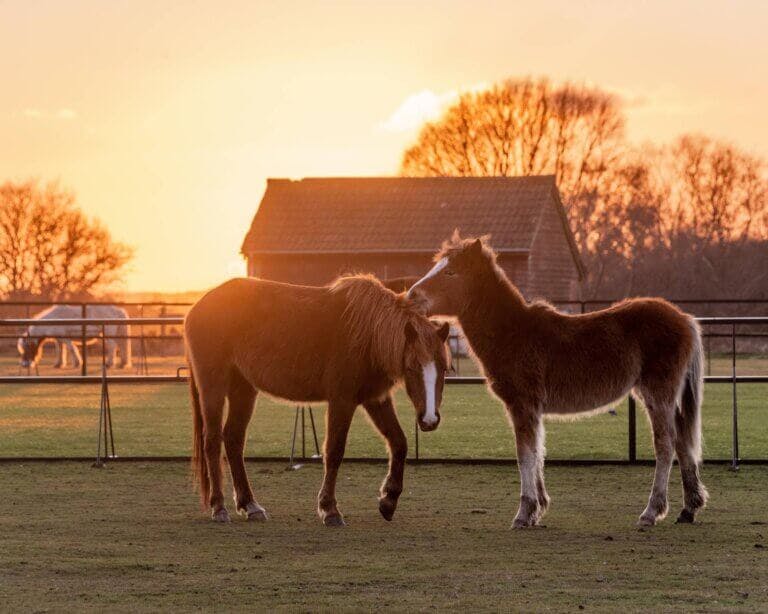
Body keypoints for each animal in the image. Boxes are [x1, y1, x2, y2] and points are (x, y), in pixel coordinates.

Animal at [184, 274, 450, 526]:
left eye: (444, 367)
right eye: (412, 368)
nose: (429, 419)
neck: (367, 333)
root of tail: (196, 309)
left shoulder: (375, 399)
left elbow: (399, 443)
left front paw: (388, 501)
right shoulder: (342, 400)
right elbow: (334, 451)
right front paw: (329, 509)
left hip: (244, 389)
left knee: (233, 439)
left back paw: (250, 505)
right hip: (213, 388)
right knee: (212, 442)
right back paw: (219, 507)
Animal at [407, 234, 708, 528]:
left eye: (450, 272)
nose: (411, 296)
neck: (514, 333)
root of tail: (685, 319)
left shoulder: (522, 405)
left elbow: (525, 454)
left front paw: (524, 513)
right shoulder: (531, 409)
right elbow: (537, 451)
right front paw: (538, 509)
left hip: (657, 394)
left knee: (666, 443)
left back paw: (651, 512)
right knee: (682, 439)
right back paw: (689, 508)